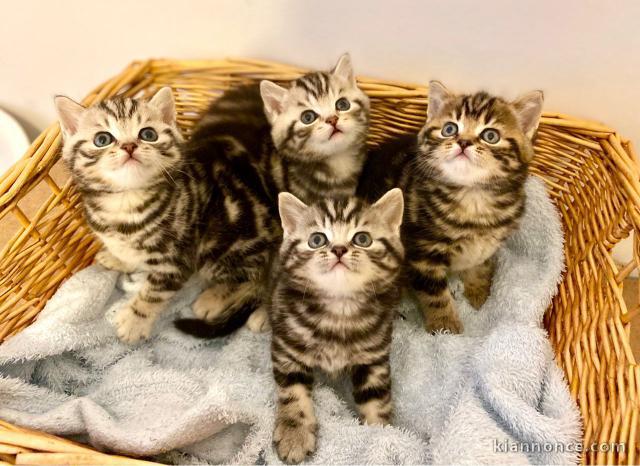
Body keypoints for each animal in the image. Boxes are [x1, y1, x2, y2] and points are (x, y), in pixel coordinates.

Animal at [272, 188, 404, 462]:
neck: (339, 308)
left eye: (362, 239)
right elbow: (293, 393)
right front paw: (294, 434)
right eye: (317, 240)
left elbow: (376, 399)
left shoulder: (373, 357)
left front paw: (382, 436)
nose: (340, 249)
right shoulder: (287, 347)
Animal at [358, 81, 544, 334]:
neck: (474, 199)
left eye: (490, 135)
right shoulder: (422, 253)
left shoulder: (489, 244)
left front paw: (479, 293)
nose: (463, 142)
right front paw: (446, 326)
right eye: (449, 129)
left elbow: (480, 265)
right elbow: (434, 295)